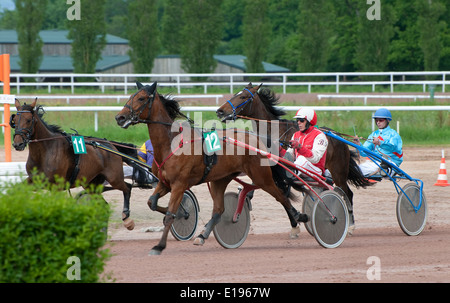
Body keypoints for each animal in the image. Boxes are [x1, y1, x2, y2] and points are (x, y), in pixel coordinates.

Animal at [10, 100, 137, 230]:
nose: (18, 144)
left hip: (114, 177)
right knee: (104, 206)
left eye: (28, 120)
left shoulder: (56, 186)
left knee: (127, 188)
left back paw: (127, 218)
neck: (45, 151)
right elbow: (16, 191)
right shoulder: (34, 180)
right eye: (14, 121)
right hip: (91, 184)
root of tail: (110, 145)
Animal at [114, 81, 308, 256]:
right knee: (219, 210)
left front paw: (159, 246)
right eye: (130, 97)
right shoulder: (165, 183)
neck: (170, 143)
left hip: (261, 177)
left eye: (141, 98)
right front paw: (180, 215)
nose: (119, 117)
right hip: (220, 179)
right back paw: (202, 236)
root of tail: (257, 140)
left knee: (281, 195)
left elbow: (170, 214)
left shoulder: (179, 185)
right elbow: (152, 203)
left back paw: (299, 218)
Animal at [216, 84, 370, 224]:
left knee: (347, 193)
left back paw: (350, 222)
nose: (220, 111)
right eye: (235, 94)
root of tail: (339, 138)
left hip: (338, 172)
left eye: (243, 97)